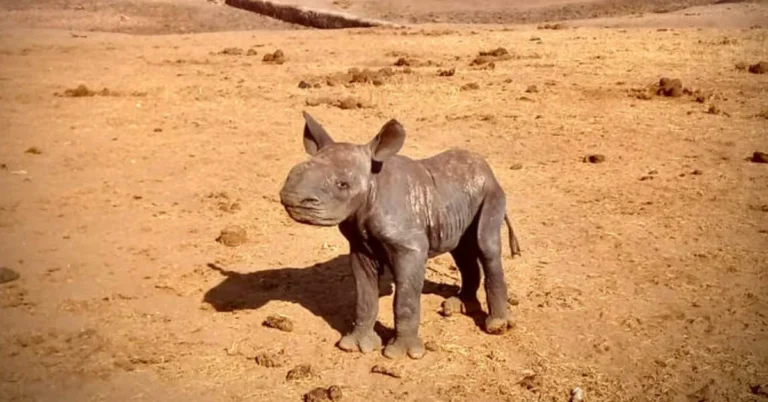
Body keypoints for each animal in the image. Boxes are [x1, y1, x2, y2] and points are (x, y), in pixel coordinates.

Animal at [278, 112, 521, 359]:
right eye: (295, 171)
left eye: (342, 185)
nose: (292, 197)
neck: (373, 185)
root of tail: (488, 170)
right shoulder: (360, 246)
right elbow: (364, 296)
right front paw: (354, 346)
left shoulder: (410, 248)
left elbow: (404, 300)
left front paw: (401, 354)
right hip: (456, 196)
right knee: (461, 249)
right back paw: (458, 306)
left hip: (492, 191)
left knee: (486, 245)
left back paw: (497, 326)